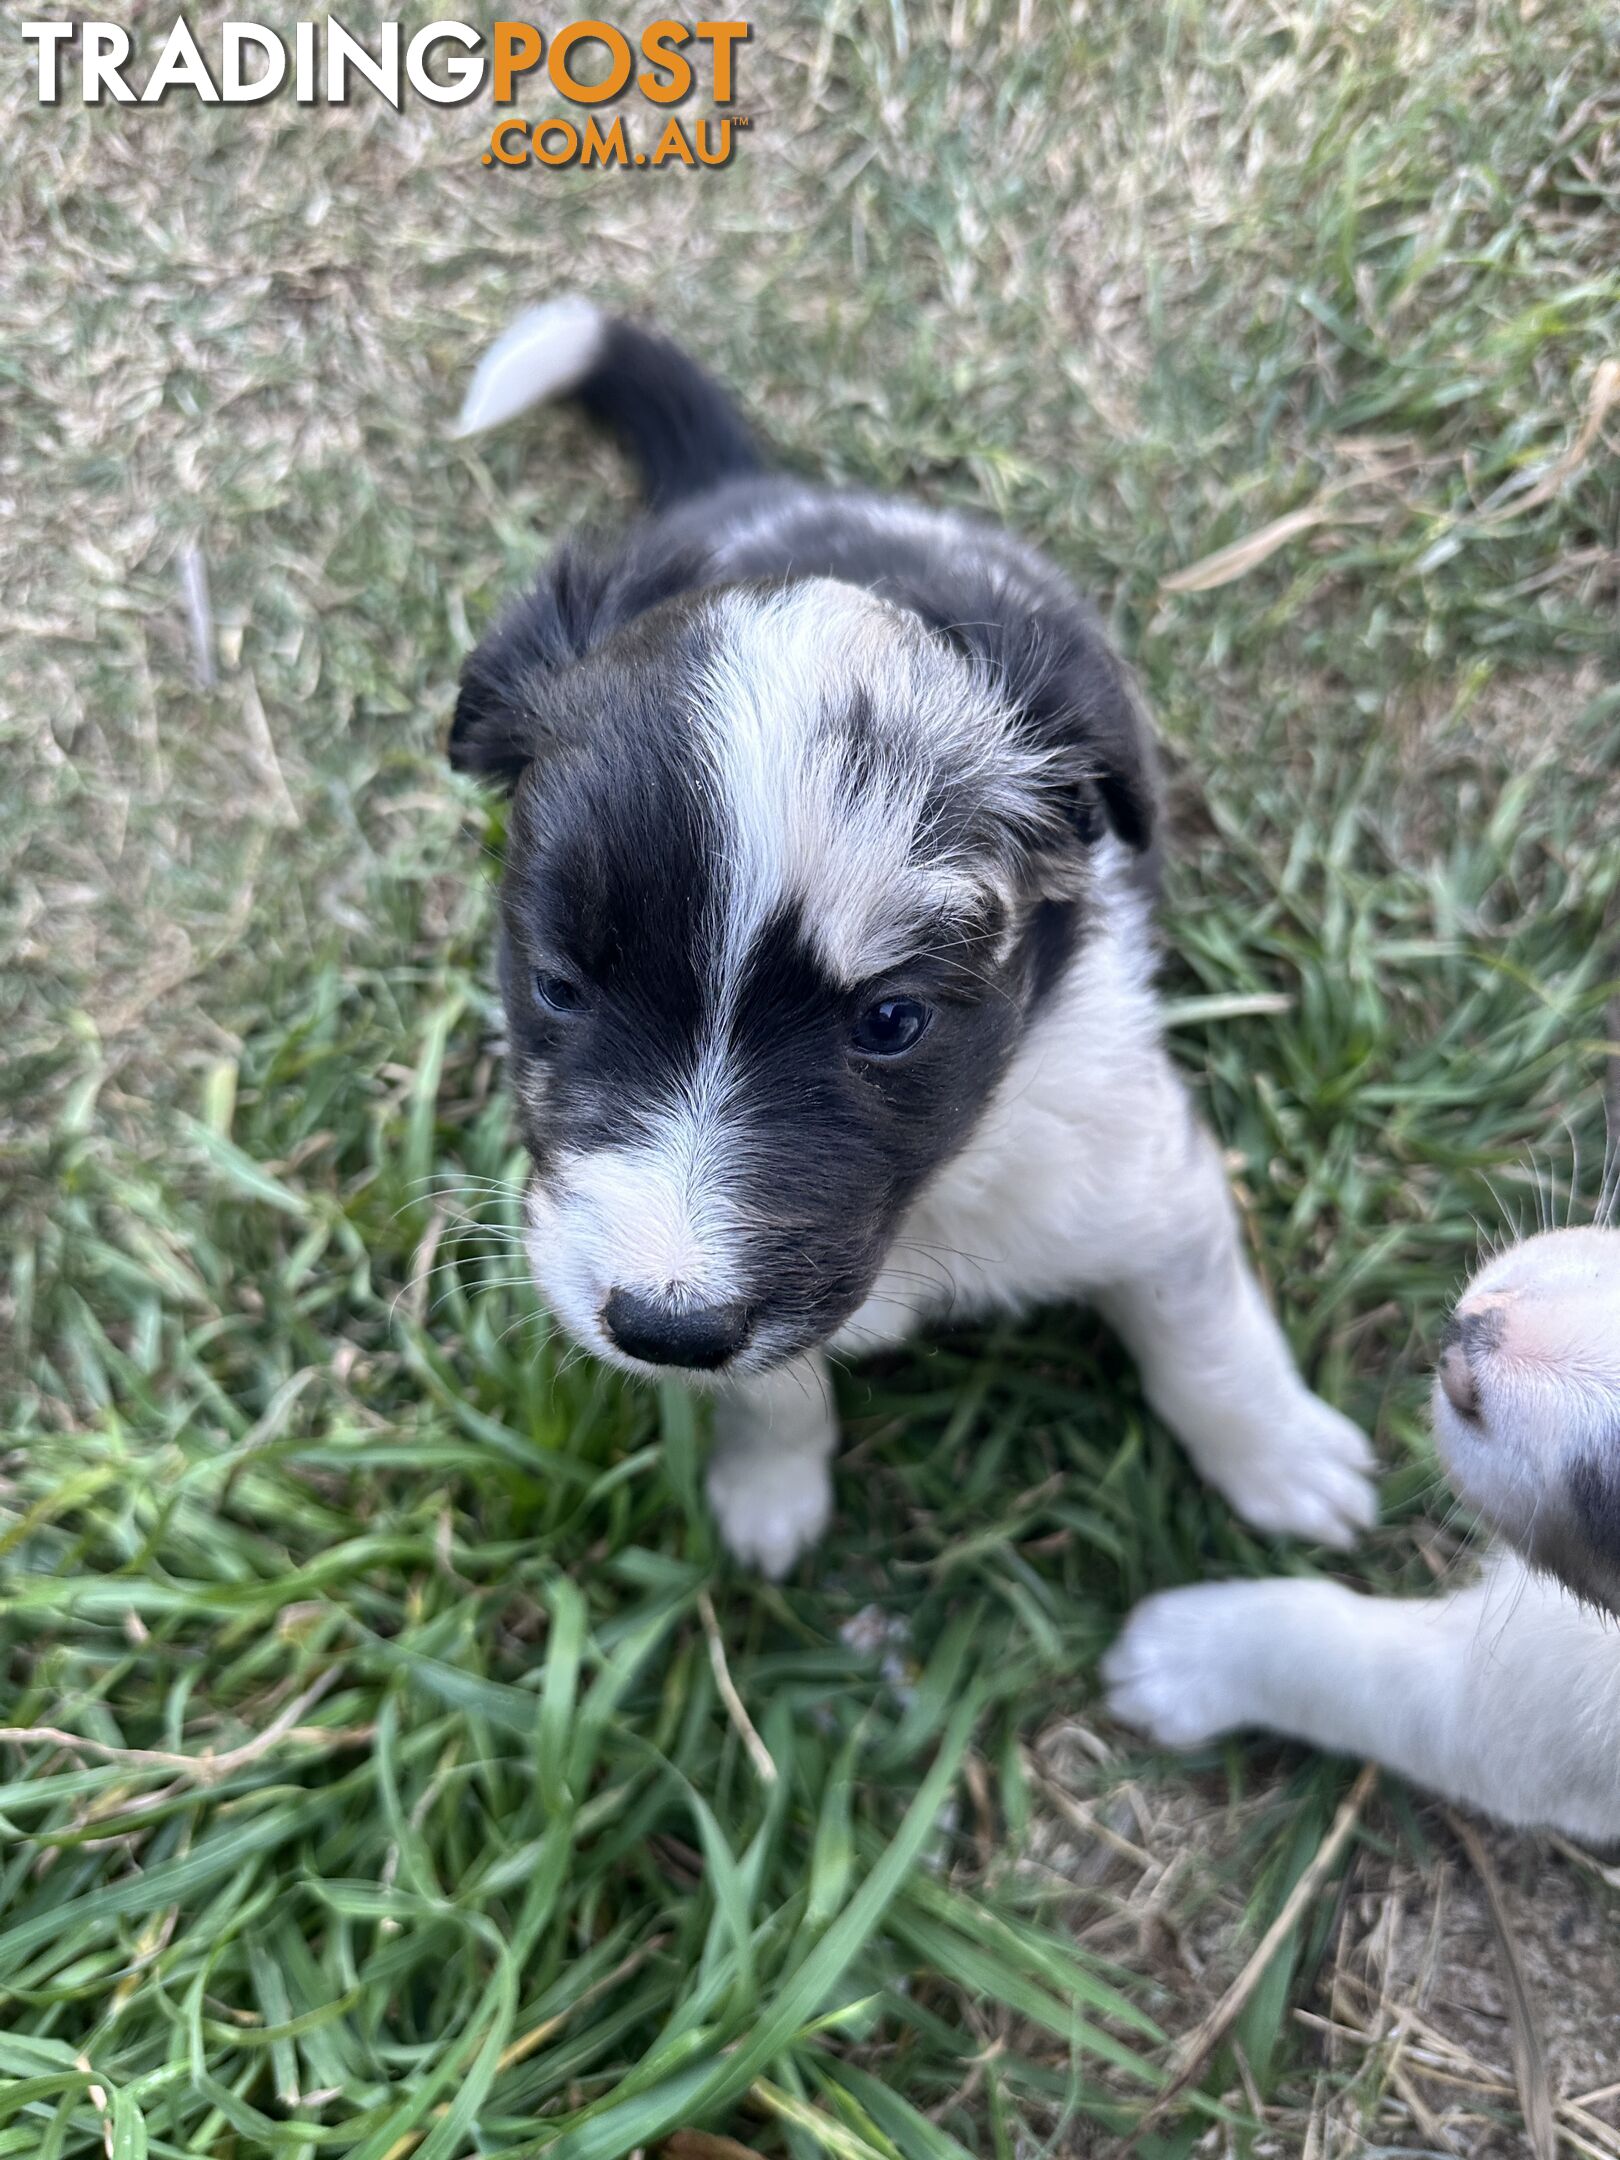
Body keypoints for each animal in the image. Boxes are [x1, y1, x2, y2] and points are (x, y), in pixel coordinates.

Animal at [451, 300, 1373, 1572]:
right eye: (557, 987)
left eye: (892, 1022)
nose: (663, 1326)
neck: (931, 1201)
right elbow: (772, 1387)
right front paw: (771, 1490)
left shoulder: (1145, 1180)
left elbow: (1206, 1337)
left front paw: (1283, 1459)